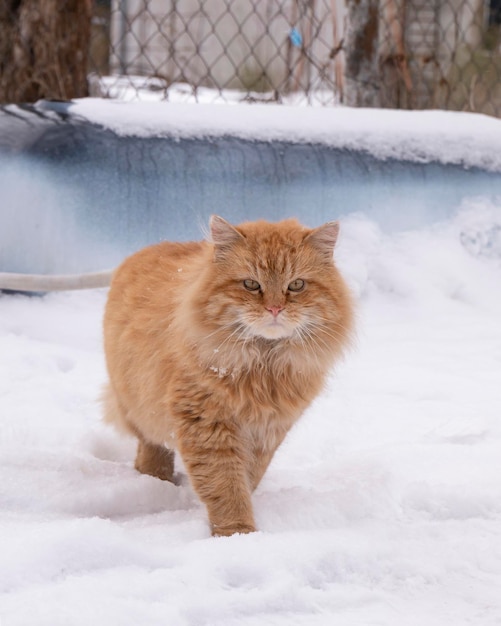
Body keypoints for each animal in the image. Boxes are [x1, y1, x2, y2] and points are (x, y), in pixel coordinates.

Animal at [101, 216, 352, 536]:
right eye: (251, 284)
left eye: (296, 285)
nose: (274, 308)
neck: (263, 365)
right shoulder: (206, 423)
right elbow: (226, 485)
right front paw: (236, 533)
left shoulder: (266, 432)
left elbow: (247, 478)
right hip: (138, 406)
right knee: (151, 446)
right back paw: (155, 478)